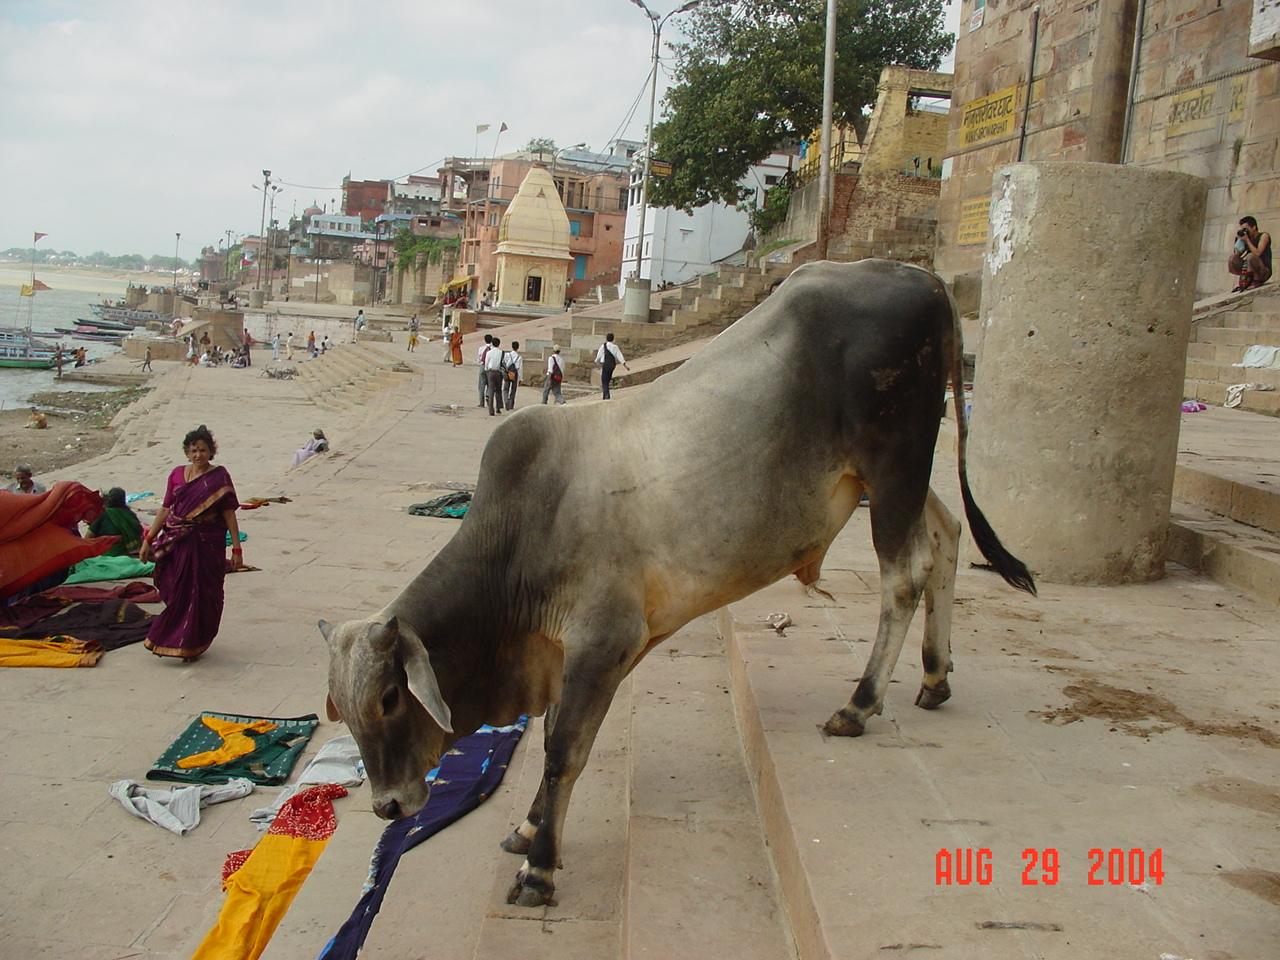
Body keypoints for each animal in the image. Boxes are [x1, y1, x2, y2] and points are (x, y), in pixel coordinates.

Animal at [319, 258, 1035, 908]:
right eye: (345, 710)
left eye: (389, 699)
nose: (387, 808)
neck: (516, 552)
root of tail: (926, 278)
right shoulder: (589, 654)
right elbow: (559, 746)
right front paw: (528, 827)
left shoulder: (600, 644)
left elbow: (562, 751)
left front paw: (540, 867)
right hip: (898, 479)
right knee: (947, 538)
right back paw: (935, 676)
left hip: (894, 466)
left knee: (906, 574)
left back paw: (859, 705)